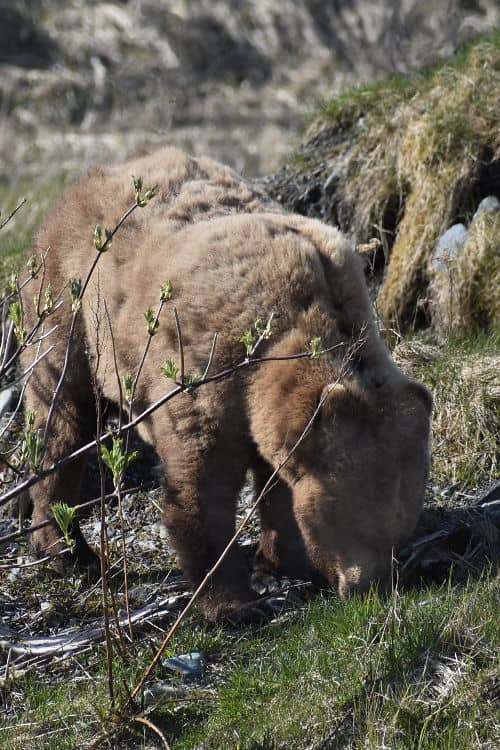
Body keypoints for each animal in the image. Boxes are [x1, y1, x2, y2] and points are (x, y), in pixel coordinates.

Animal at [21, 147, 432, 621]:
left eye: (399, 528)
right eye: (350, 517)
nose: (368, 585)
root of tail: (83, 182)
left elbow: (277, 482)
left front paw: (283, 561)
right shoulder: (209, 370)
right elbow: (203, 484)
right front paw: (234, 602)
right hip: (71, 310)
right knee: (63, 414)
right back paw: (66, 549)